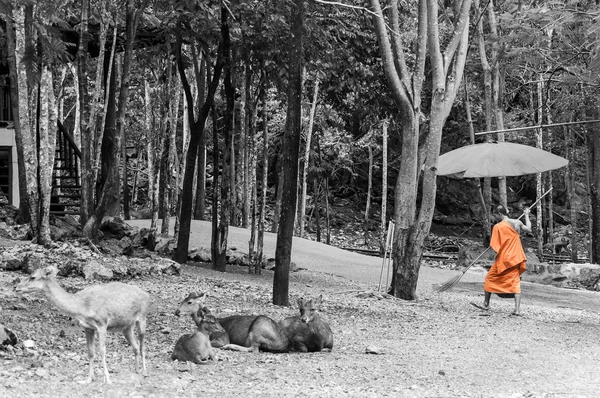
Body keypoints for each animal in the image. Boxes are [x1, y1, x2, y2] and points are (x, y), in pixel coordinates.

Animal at [15, 266, 149, 384]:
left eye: (32, 277)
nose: (16, 287)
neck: (82, 306)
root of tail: (147, 295)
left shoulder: (102, 323)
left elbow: (102, 351)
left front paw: (107, 379)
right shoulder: (87, 327)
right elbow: (90, 352)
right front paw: (88, 379)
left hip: (142, 317)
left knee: (142, 345)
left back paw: (144, 371)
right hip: (127, 327)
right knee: (135, 346)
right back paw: (136, 370)